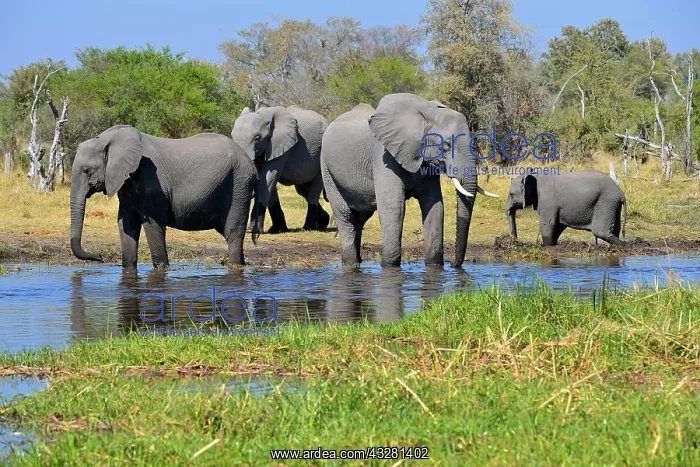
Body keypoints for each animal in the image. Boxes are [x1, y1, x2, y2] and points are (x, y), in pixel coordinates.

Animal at [70, 125, 257, 269]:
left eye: (87, 170)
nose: (100, 257)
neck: (109, 139)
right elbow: (126, 224)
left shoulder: (151, 182)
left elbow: (153, 225)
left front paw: (162, 270)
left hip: (240, 184)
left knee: (233, 232)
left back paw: (234, 266)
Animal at [231, 105, 330, 234]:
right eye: (232, 136)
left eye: (257, 138)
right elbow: (266, 181)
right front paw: (277, 229)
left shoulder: (280, 145)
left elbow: (268, 178)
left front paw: (253, 230)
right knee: (303, 190)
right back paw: (323, 223)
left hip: (323, 156)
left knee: (314, 189)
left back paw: (309, 228)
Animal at [321, 94, 498, 268]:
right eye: (446, 145)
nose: (453, 264)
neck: (425, 115)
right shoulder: (383, 158)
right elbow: (394, 208)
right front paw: (390, 266)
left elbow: (435, 206)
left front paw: (435, 265)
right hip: (326, 169)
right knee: (345, 215)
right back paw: (351, 263)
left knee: (360, 219)